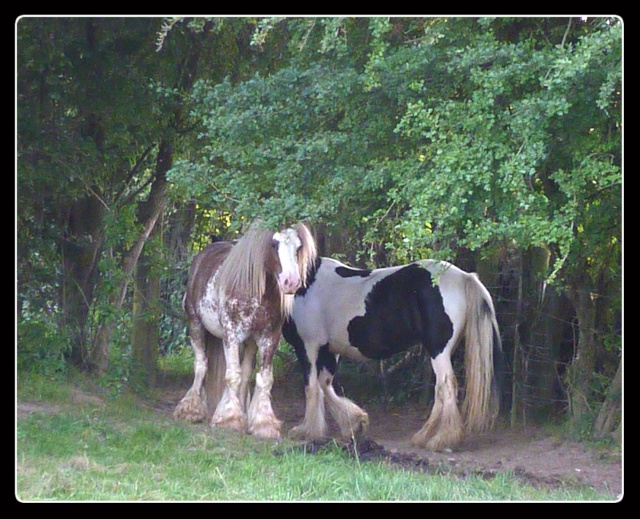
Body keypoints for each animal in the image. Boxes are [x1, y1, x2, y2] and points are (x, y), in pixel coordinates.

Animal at [174, 221, 316, 440]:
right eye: (274, 244)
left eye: (298, 247)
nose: (290, 282)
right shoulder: (231, 336)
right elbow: (232, 375)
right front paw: (229, 419)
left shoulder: (269, 338)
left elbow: (263, 378)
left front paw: (263, 423)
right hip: (196, 325)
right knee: (201, 365)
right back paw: (191, 409)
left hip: (249, 342)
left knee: (246, 371)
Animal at [282, 258, 502, 452]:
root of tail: (463, 277)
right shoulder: (329, 350)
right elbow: (325, 385)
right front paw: (355, 423)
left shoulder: (308, 346)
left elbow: (311, 387)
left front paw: (307, 431)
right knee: (440, 389)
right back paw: (425, 436)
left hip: (438, 350)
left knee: (446, 387)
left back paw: (442, 440)